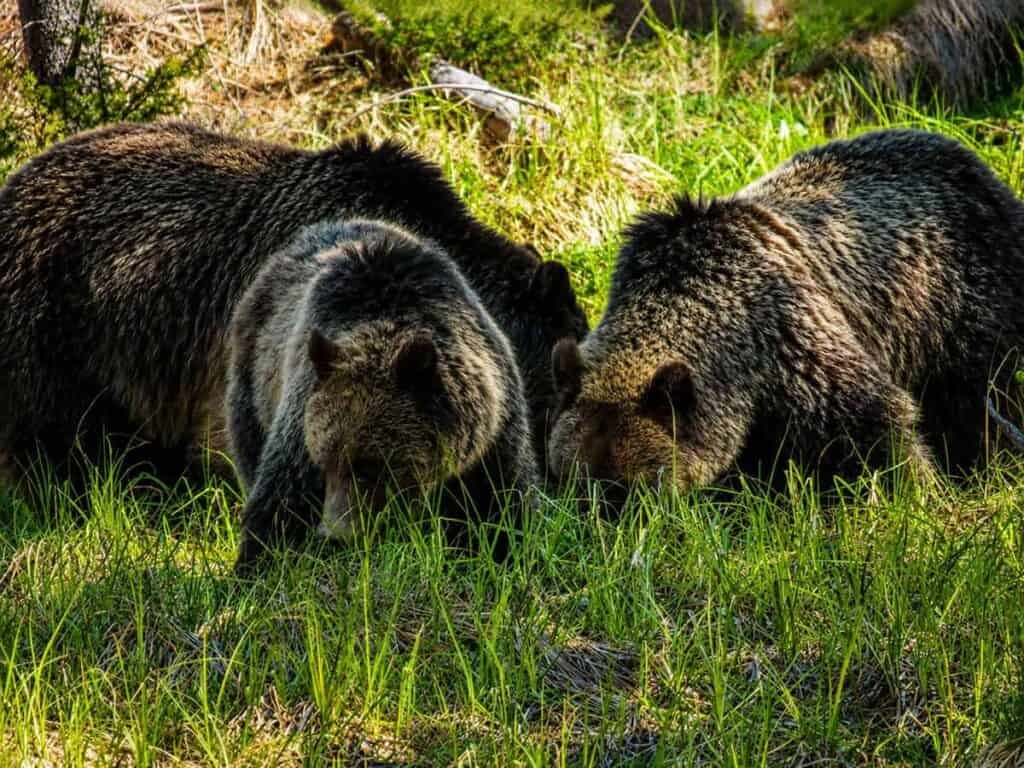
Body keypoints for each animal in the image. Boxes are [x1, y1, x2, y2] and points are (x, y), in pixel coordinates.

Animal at [228, 219, 536, 568]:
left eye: (368, 466)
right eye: (323, 464)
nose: (333, 533)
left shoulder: (493, 434)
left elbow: (502, 505)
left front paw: (504, 552)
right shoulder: (301, 410)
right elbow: (280, 497)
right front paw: (259, 560)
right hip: (253, 377)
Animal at [547, 129, 1024, 501]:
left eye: (630, 488)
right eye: (571, 482)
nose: (596, 525)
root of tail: (973, 162)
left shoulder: (792, 339)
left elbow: (878, 422)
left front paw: (918, 491)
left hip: (961, 305)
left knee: (983, 396)